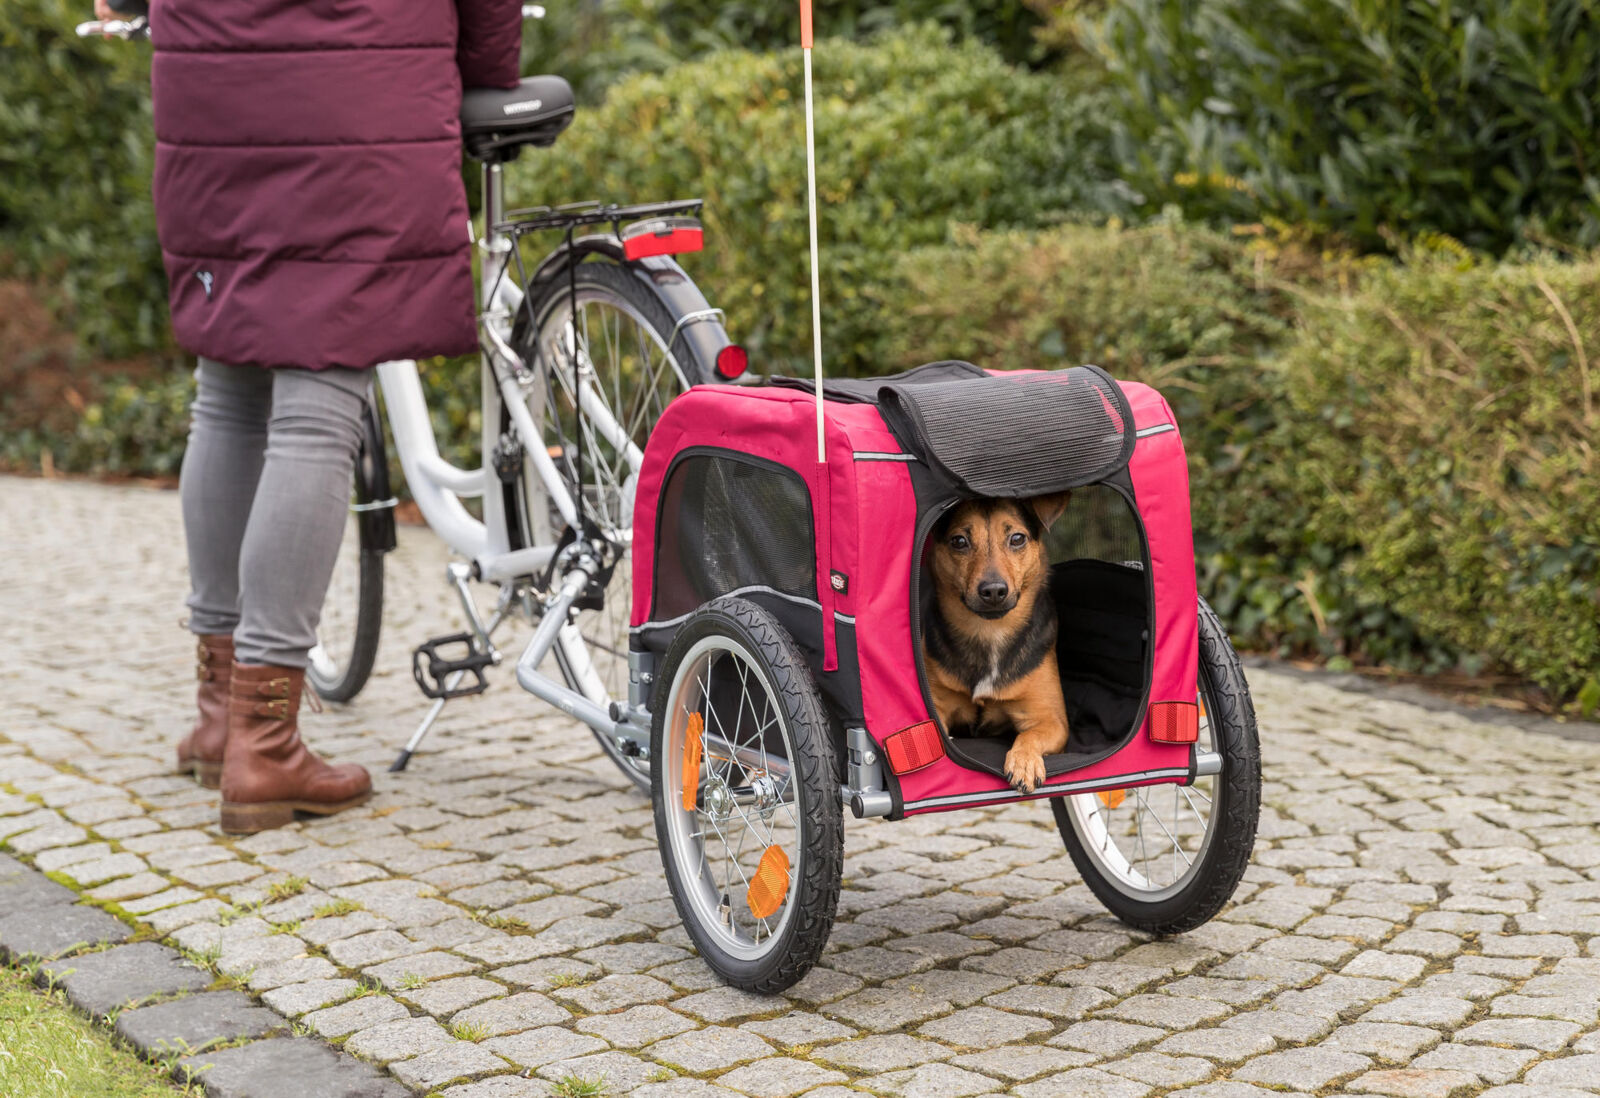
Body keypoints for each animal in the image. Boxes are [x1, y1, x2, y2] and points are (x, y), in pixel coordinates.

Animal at [921, 496, 1068, 797]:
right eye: (959, 541)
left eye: (1017, 538)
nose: (993, 591)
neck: (989, 632)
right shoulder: (937, 708)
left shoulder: (1051, 720)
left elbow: (1029, 734)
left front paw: (1024, 762)